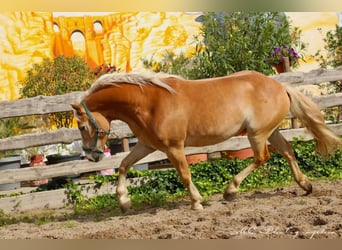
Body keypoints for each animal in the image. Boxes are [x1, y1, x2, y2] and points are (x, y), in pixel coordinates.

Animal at [71, 70, 340, 211]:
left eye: (82, 126)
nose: (90, 156)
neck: (149, 102)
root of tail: (279, 86)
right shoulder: (148, 145)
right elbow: (124, 165)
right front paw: (124, 201)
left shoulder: (173, 147)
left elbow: (185, 174)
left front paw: (197, 202)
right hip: (270, 131)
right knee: (287, 150)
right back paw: (305, 185)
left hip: (257, 133)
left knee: (262, 157)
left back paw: (230, 190)